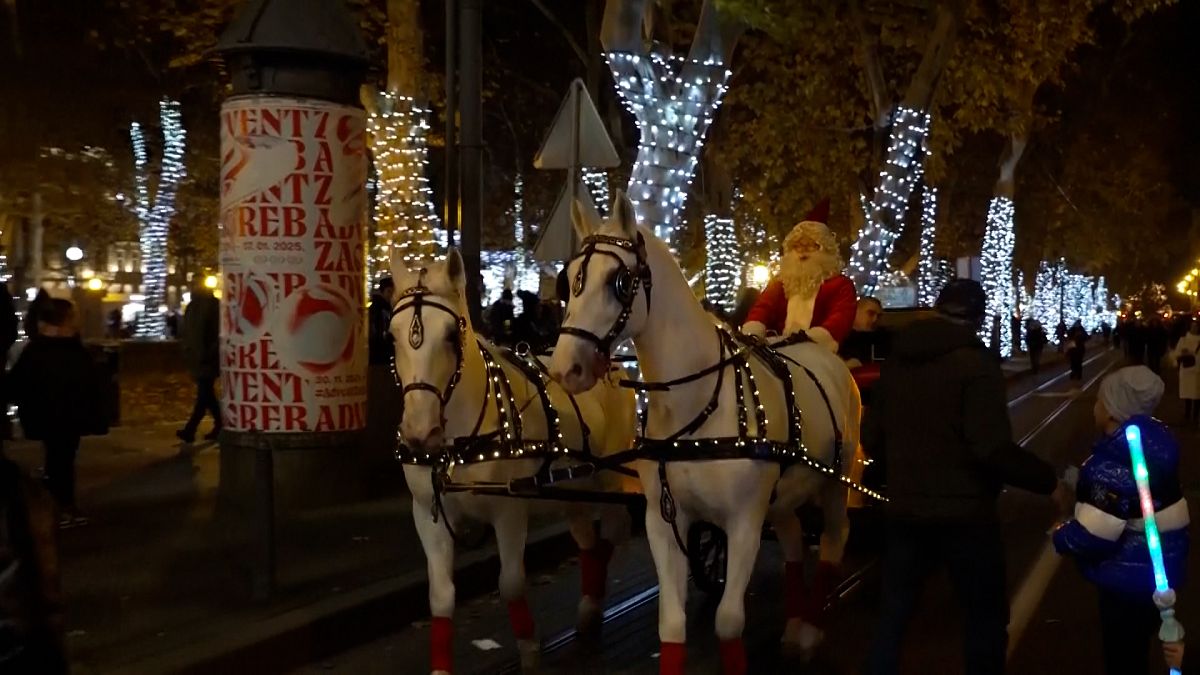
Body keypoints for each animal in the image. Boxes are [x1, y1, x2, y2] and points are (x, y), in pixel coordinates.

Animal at [391, 251, 638, 672]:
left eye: (451, 335)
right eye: (392, 336)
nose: (419, 432)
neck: (458, 444)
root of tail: (616, 365)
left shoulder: (509, 512)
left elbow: (510, 584)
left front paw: (529, 650)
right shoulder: (428, 514)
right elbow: (440, 597)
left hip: (609, 482)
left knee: (611, 536)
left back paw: (592, 607)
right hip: (572, 493)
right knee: (588, 544)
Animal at [552, 190, 864, 672]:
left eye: (619, 280)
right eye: (569, 281)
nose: (565, 368)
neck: (695, 404)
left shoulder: (744, 522)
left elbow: (729, 623)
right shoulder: (664, 520)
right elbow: (672, 624)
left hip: (833, 485)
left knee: (832, 542)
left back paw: (810, 630)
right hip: (784, 495)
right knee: (794, 540)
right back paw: (795, 626)